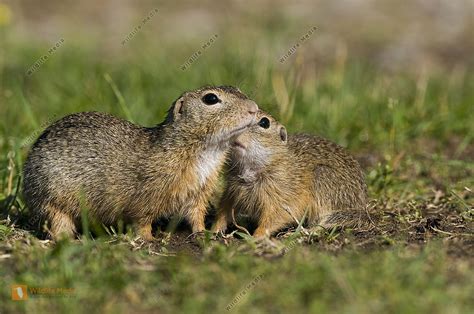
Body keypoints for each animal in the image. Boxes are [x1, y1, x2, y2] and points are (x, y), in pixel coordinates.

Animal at [21, 84, 260, 239]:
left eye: (237, 89)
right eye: (210, 99)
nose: (254, 108)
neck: (205, 151)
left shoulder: (199, 191)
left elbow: (196, 214)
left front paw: (203, 233)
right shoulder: (146, 194)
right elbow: (142, 219)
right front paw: (148, 239)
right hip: (51, 201)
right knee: (57, 224)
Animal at [213, 111, 368, 237]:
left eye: (264, 122)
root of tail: (362, 207)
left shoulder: (282, 196)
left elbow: (276, 217)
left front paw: (257, 236)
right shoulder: (232, 190)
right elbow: (224, 209)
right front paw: (215, 229)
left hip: (323, 180)